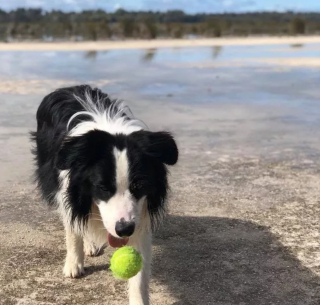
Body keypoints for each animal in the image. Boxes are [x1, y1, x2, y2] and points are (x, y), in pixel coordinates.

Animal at [31, 85, 179, 304]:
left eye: (139, 185)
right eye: (103, 187)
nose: (124, 230)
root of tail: (68, 87)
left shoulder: (140, 214)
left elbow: (139, 270)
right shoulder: (67, 189)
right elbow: (72, 227)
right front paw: (73, 265)